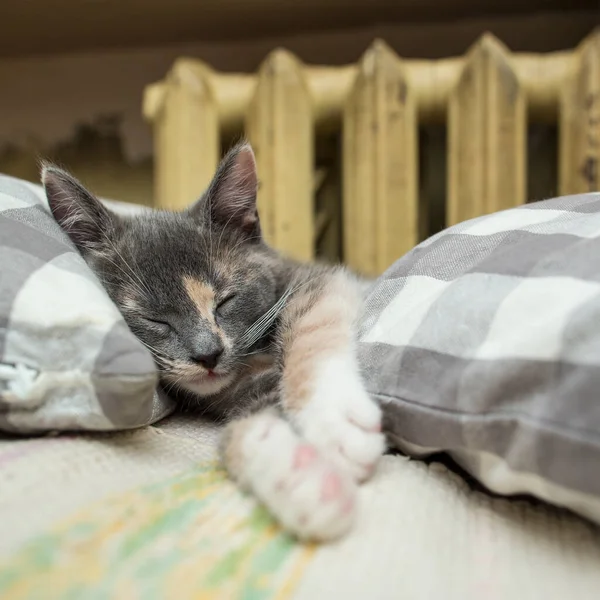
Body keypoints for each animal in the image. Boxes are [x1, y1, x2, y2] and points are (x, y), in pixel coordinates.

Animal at [44, 143, 386, 540]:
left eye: (225, 300)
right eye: (154, 319)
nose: (207, 353)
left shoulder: (315, 278)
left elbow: (313, 325)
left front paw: (335, 421)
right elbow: (240, 428)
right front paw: (303, 481)